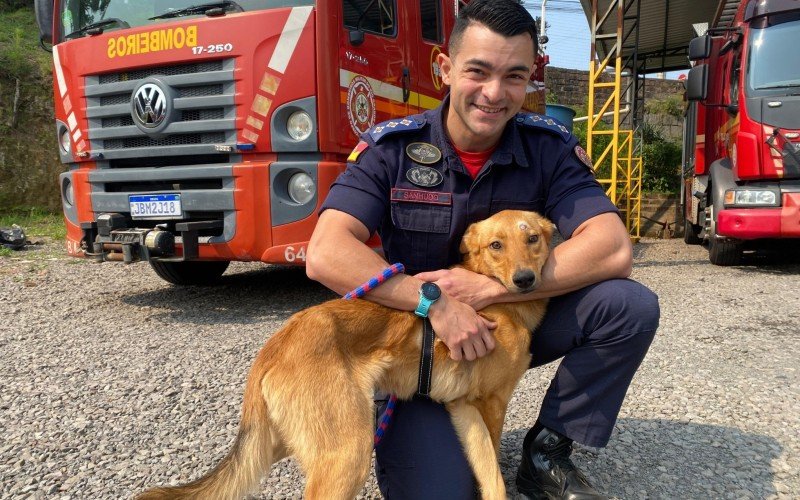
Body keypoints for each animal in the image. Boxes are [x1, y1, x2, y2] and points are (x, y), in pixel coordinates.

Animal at [138, 210, 552, 500]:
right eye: (496, 245)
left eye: (532, 238)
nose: (525, 280)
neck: (499, 303)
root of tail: (275, 345)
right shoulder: (491, 404)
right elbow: (494, 467)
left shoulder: (465, 409)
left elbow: (489, 477)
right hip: (348, 452)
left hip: (282, 442)